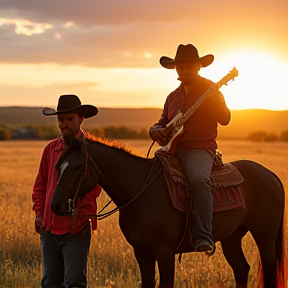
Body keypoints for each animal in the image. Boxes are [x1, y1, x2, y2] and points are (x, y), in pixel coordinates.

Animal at [50, 136, 286, 288]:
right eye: (58, 165)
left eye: (78, 167)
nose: (56, 206)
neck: (140, 191)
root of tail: (271, 175)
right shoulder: (141, 252)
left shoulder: (164, 252)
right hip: (232, 238)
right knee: (241, 270)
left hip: (265, 238)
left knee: (269, 274)